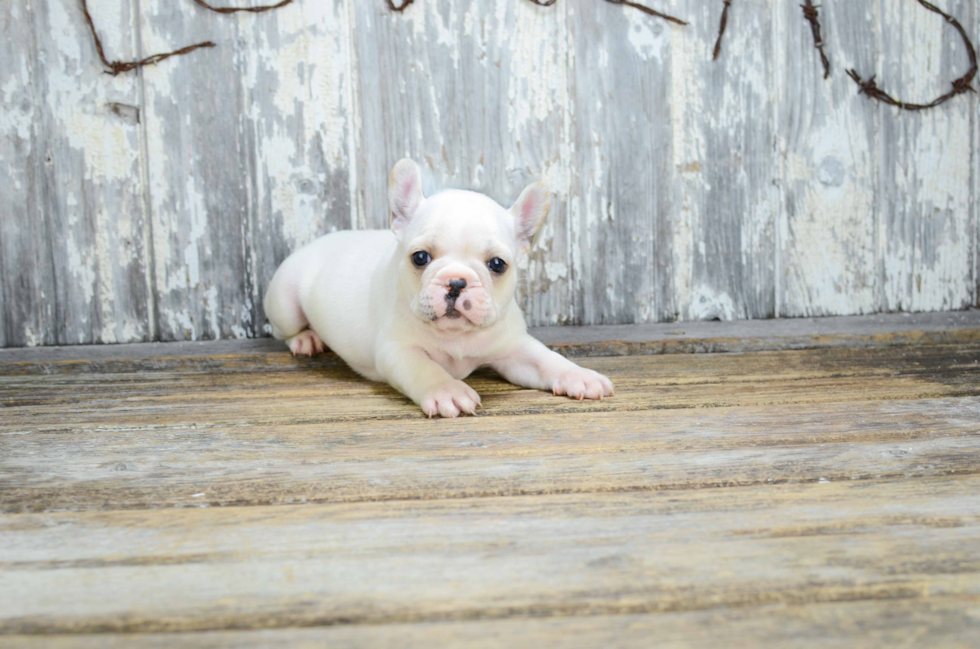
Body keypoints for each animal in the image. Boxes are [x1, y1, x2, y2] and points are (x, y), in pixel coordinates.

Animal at [260, 159, 612, 418]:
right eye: (420, 257)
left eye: (497, 264)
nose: (456, 281)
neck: (455, 336)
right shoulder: (398, 351)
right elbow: (425, 368)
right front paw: (448, 391)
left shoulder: (515, 348)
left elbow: (546, 360)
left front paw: (580, 375)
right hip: (285, 304)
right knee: (285, 329)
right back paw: (306, 338)